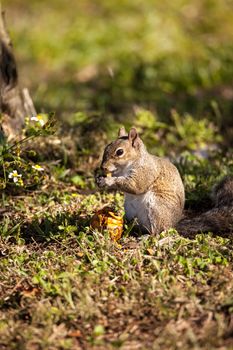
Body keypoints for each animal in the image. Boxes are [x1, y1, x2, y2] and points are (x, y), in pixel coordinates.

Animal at [96, 127, 233, 237]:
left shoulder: (147, 170)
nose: (103, 167)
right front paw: (99, 178)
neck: (126, 166)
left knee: (158, 231)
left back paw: (146, 237)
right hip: (131, 211)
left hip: (157, 208)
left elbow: (136, 186)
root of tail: (172, 225)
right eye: (107, 147)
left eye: (120, 152)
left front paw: (109, 180)